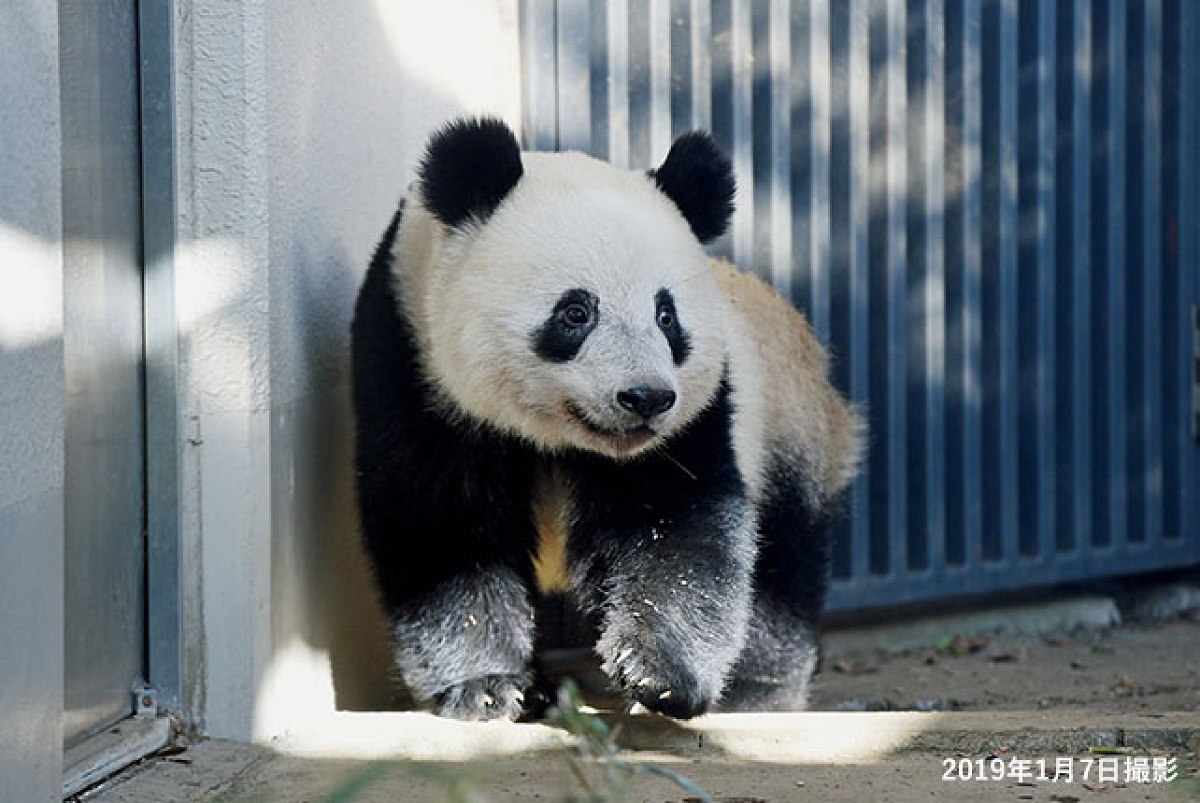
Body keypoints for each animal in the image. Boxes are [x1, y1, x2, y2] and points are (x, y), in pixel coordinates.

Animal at [350, 117, 864, 720]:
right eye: (576, 311)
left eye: (666, 316)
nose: (645, 397)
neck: (553, 436)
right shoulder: (411, 365)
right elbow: (445, 527)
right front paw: (486, 687)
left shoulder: (699, 417)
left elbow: (676, 524)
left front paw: (658, 672)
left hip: (787, 427)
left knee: (784, 561)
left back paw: (756, 691)